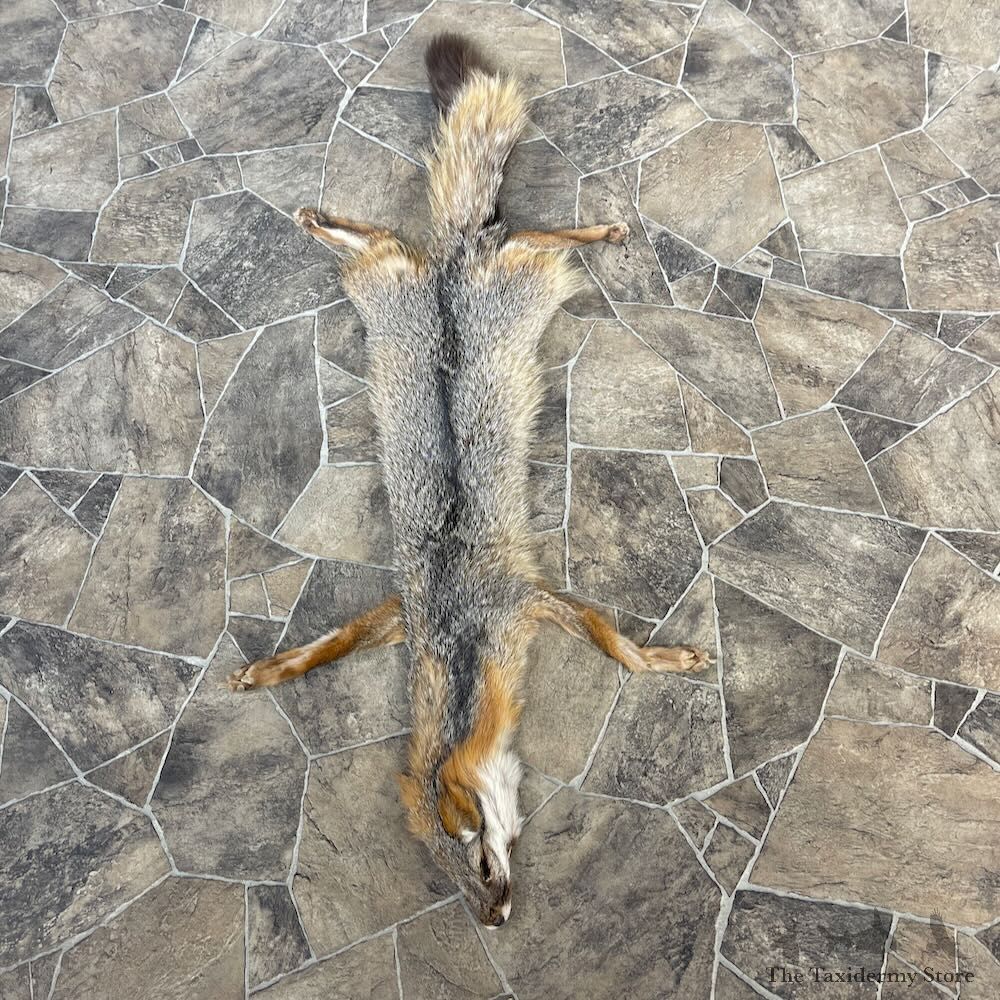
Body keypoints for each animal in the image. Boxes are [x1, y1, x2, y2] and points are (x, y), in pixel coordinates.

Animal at [228, 33, 709, 927]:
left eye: (480, 866)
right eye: (458, 881)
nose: (497, 920)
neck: (459, 650)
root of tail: (455, 268)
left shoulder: (531, 603)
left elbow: (623, 653)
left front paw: (666, 659)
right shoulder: (402, 617)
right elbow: (326, 645)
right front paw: (271, 669)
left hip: (517, 267)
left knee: (538, 229)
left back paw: (600, 226)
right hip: (398, 276)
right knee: (392, 236)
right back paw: (324, 223)